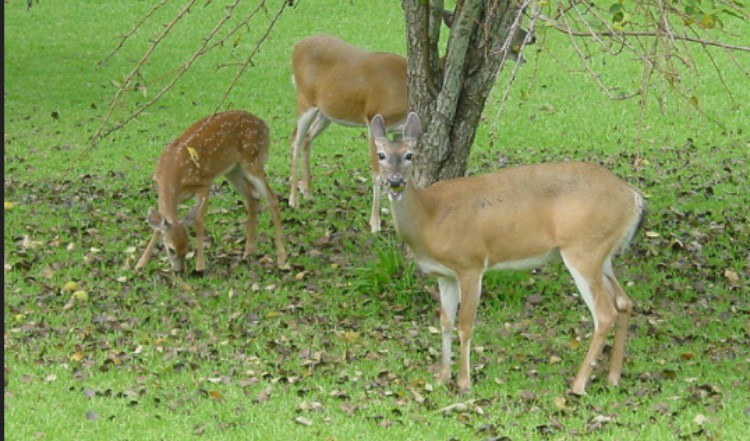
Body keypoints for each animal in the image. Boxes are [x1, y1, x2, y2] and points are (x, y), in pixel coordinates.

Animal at [135, 110, 287, 273]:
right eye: (171, 249)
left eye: (187, 248)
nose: (179, 270)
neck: (172, 173)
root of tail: (264, 125)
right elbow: (158, 227)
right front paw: (140, 264)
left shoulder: (204, 183)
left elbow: (198, 221)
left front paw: (200, 266)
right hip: (233, 170)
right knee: (252, 197)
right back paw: (248, 251)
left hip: (254, 160)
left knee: (271, 198)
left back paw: (282, 259)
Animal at [289, 26, 535, 233]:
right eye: (511, 29)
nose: (531, 36)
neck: (402, 87)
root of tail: (297, 45)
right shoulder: (373, 118)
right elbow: (377, 173)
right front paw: (375, 223)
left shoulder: (399, 129)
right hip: (304, 99)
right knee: (295, 139)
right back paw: (293, 199)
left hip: (326, 112)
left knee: (307, 138)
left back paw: (307, 191)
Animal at [371, 112, 645, 395]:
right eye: (380, 154)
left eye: (409, 155)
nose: (395, 181)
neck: (429, 218)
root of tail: (635, 198)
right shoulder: (444, 275)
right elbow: (445, 322)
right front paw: (441, 377)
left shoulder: (470, 263)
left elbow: (465, 325)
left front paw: (464, 382)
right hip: (602, 254)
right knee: (624, 302)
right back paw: (613, 377)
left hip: (583, 249)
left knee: (605, 313)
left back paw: (579, 384)